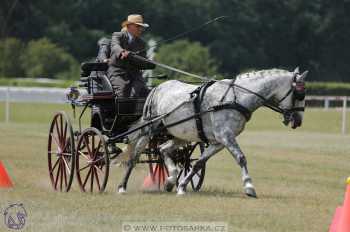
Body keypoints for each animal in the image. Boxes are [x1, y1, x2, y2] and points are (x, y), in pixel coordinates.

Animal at [117, 68, 306, 197]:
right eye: (300, 94)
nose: (298, 120)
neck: (237, 98)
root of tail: (157, 88)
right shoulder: (226, 136)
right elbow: (241, 158)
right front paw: (249, 187)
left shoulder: (219, 142)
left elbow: (199, 163)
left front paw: (182, 186)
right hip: (149, 130)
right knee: (134, 157)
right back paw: (122, 186)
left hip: (179, 135)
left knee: (163, 149)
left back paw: (170, 180)